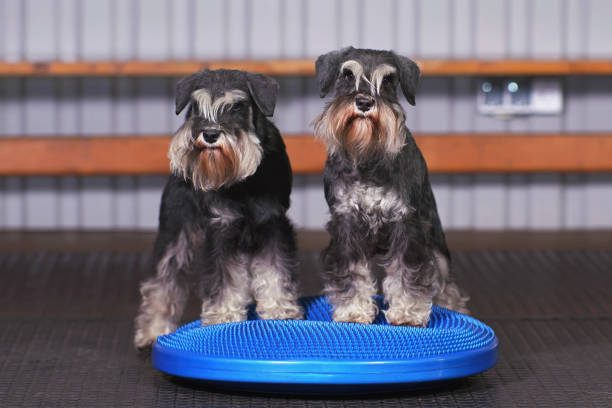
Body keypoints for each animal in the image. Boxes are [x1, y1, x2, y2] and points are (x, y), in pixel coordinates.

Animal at [136, 69, 304, 348]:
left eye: (237, 106)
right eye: (195, 106)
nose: (210, 134)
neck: (244, 183)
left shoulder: (273, 224)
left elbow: (275, 269)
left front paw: (280, 309)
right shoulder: (221, 229)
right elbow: (224, 278)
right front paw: (224, 314)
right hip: (175, 233)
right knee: (162, 282)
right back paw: (153, 330)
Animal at [314, 47, 470, 326]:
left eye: (388, 80)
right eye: (346, 75)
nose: (364, 102)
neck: (367, 158)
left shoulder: (406, 224)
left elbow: (407, 272)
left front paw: (408, 313)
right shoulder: (345, 224)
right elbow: (352, 272)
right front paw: (353, 311)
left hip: (437, 245)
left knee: (445, 284)